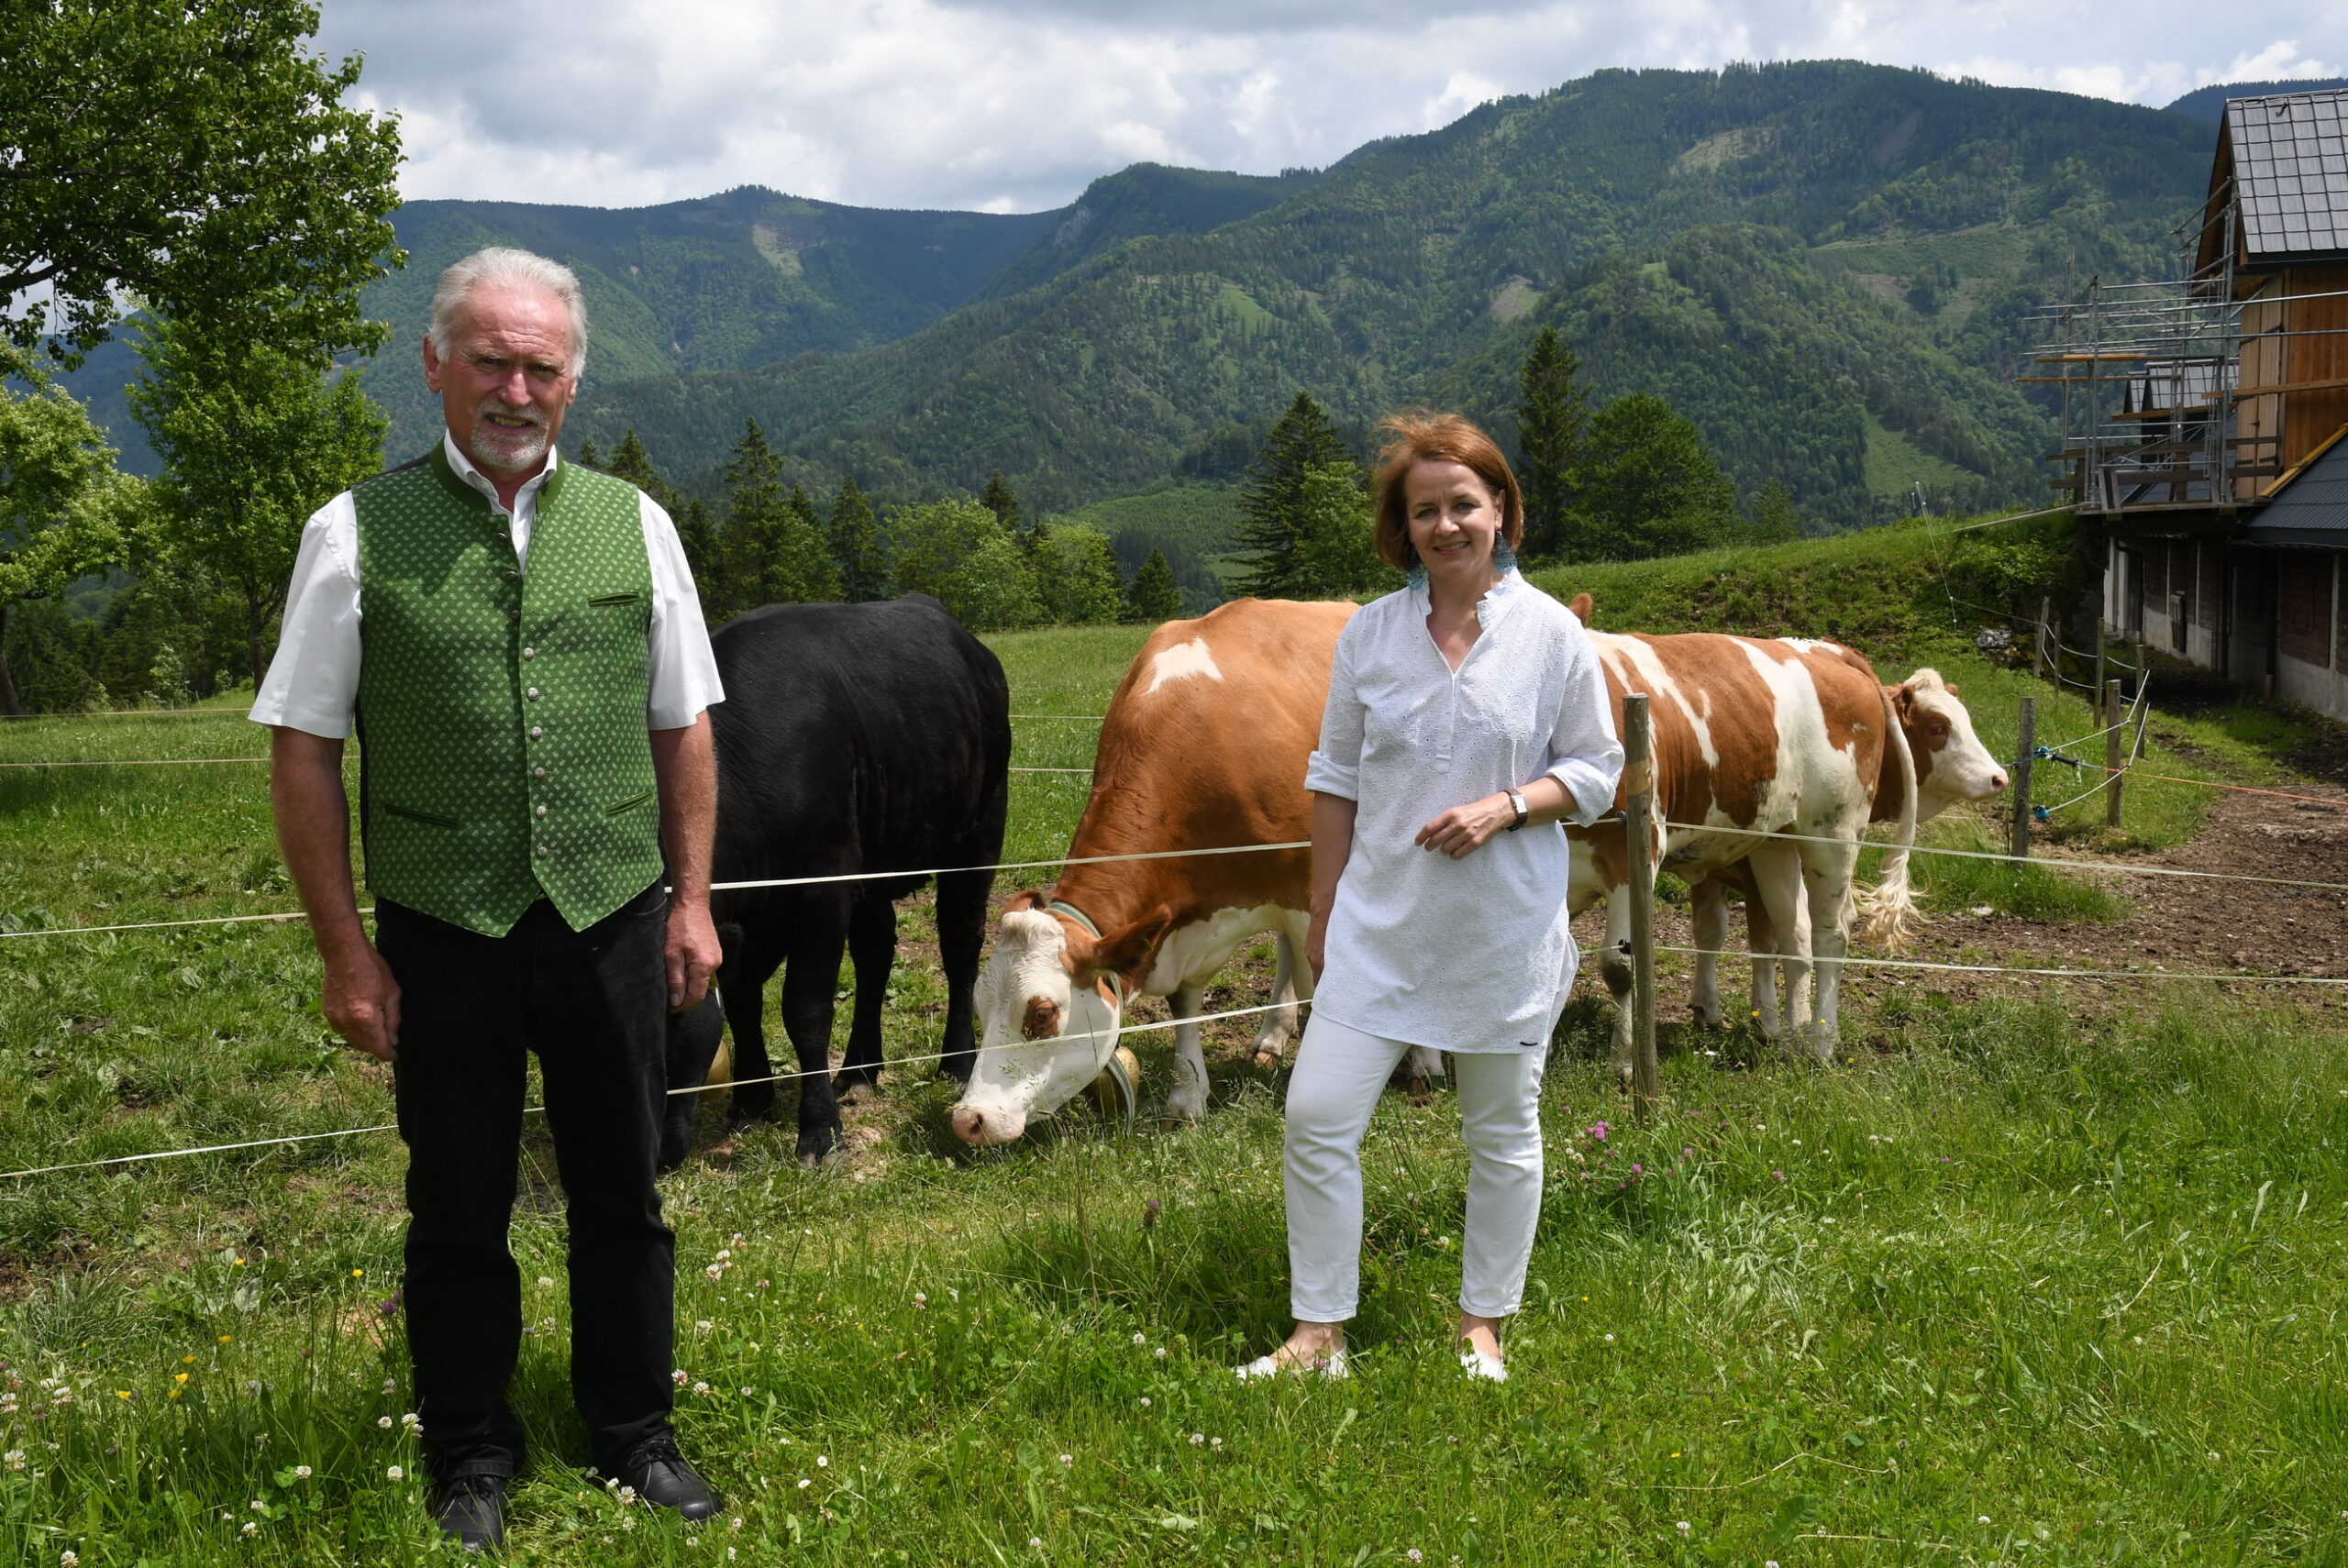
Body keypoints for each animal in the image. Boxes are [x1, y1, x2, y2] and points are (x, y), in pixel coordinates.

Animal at [671, 601, 1019, 1164]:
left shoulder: (821, 893)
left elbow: (805, 1010)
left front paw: (819, 1131)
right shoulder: (750, 923)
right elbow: (743, 1000)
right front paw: (751, 1101)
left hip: (978, 836)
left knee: (960, 949)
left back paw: (957, 1060)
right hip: (874, 867)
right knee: (876, 955)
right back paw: (859, 1069)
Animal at [948, 593, 1436, 1145]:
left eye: (1042, 1013)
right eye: (979, 1005)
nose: (969, 1119)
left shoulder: (1311, 890)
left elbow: (1329, 983)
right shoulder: (1182, 921)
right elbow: (1186, 1004)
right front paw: (1187, 1098)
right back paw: (1272, 1037)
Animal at [1558, 629, 1906, 1070]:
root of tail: (1829, 648)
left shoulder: (1632, 855)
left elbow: (1620, 966)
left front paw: (1623, 1060)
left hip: (1834, 832)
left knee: (1832, 934)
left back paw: (1822, 1043)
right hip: (1776, 842)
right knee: (1793, 932)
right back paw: (1791, 1041)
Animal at [1700, 667, 2010, 1032]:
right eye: (1937, 728)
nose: (1999, 778)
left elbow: (1711, 932)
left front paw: (1709, 1008)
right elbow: (1767, 940)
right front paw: (1774, 1021)